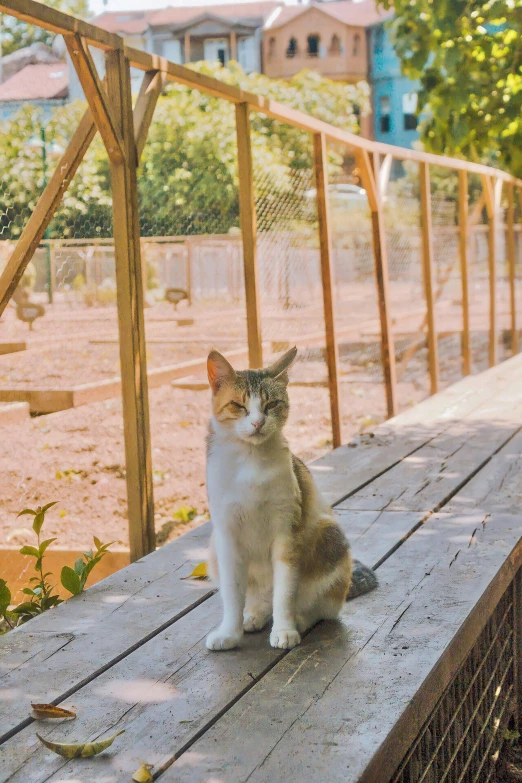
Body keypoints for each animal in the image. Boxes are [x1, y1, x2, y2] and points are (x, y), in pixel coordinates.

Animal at [202, 346, 374, 652]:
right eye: (239, 406)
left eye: (271, 405)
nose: (257, 422)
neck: (250, 461)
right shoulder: (227, 535)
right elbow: (232, 595)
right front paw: (230, 633)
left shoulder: (286, 532)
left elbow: (284, 593)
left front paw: (284, 630)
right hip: (213, 549)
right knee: (259, 599)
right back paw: (254, 614)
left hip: (328, 533)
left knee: (324, 607)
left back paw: (300, 620)